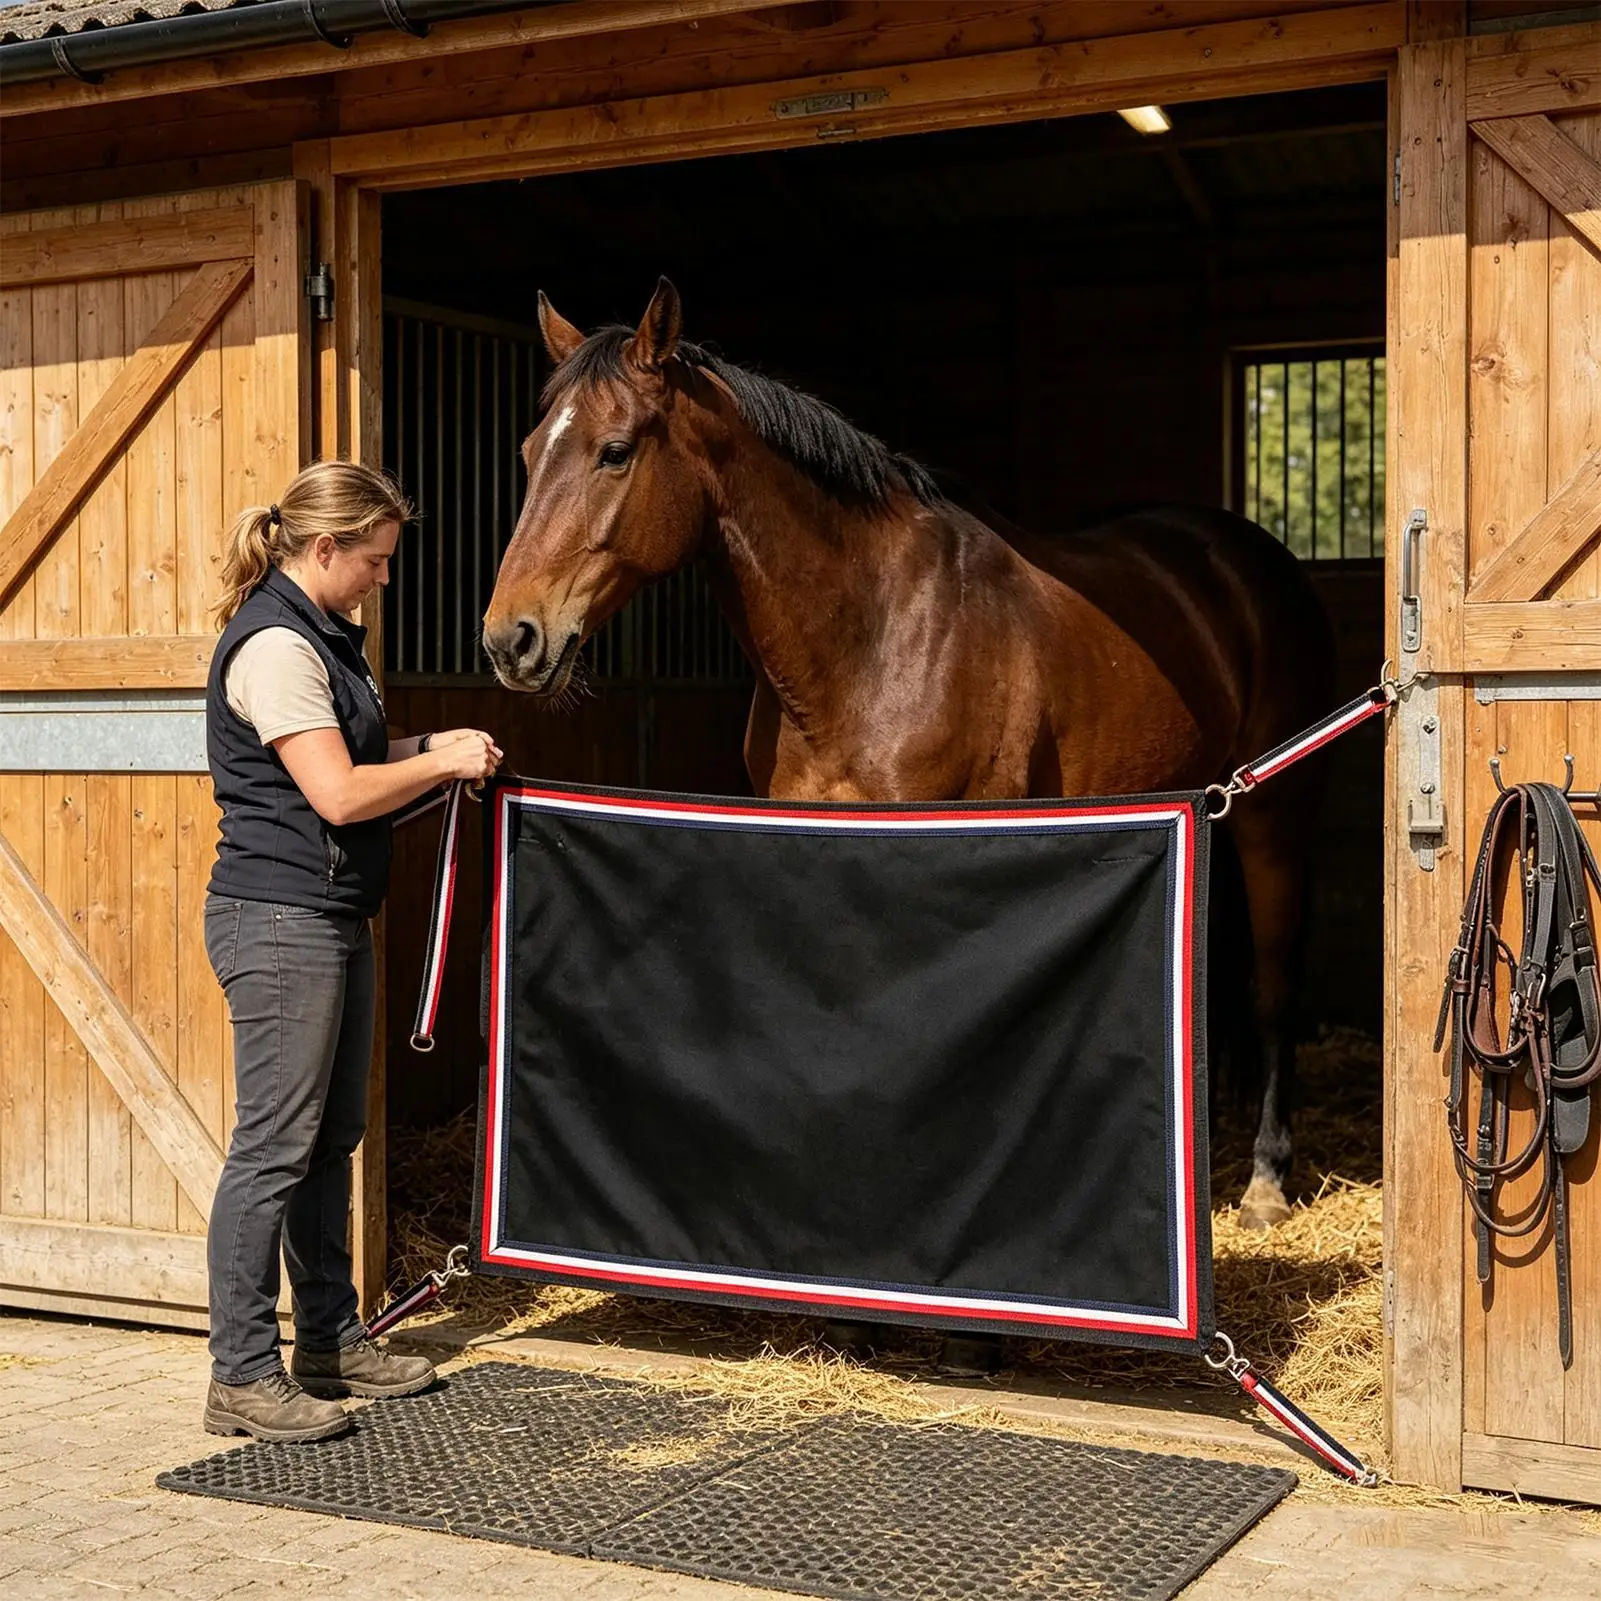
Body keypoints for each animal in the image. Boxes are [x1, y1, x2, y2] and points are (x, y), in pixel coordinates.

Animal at [482, 279, 1337, 1233]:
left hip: (1271, 820)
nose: (510, 638)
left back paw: (1264, 1178)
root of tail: (1249, 558)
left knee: (1273, 987)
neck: (876, 632)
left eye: (615, 451)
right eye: (529, 453)